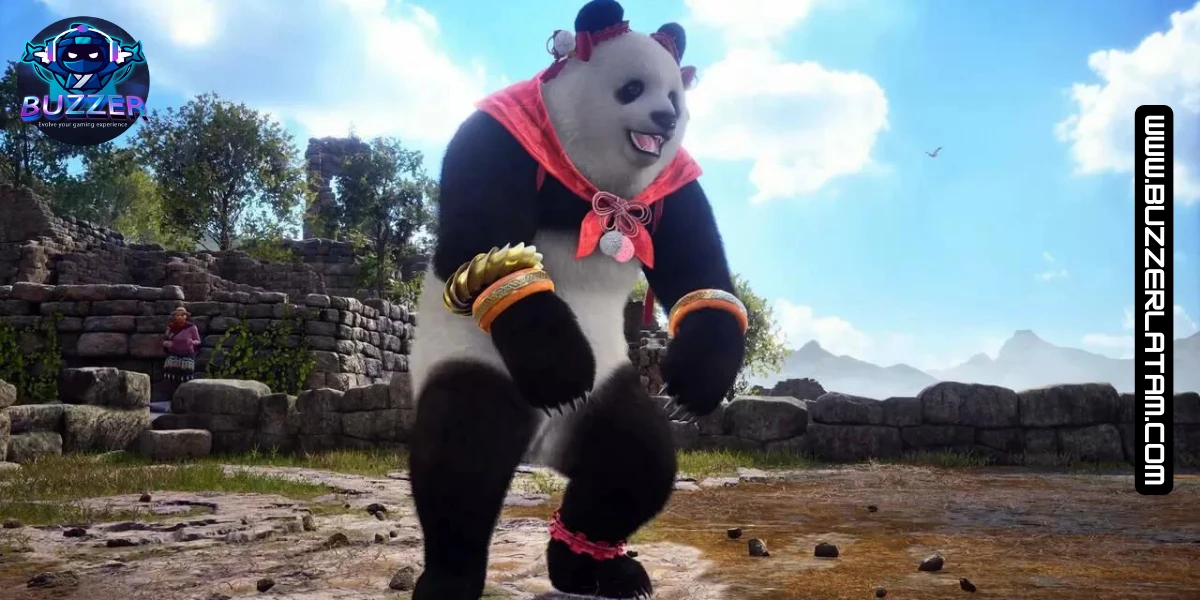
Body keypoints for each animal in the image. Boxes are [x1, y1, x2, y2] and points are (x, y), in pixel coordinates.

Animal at [406, 1, 746, 598]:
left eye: (675, 97)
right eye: (632, 89)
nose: (664, 119)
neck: (599, 184)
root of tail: (541, 445)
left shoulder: (672, 185)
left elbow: (700, 273)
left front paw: (696, 383)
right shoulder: (503, 139)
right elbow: (482, 245)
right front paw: (560, 367)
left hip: (609, 390)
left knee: (633, 463)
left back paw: (596, 568)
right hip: (475, 358)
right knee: (462, 454)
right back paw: (450, 578)